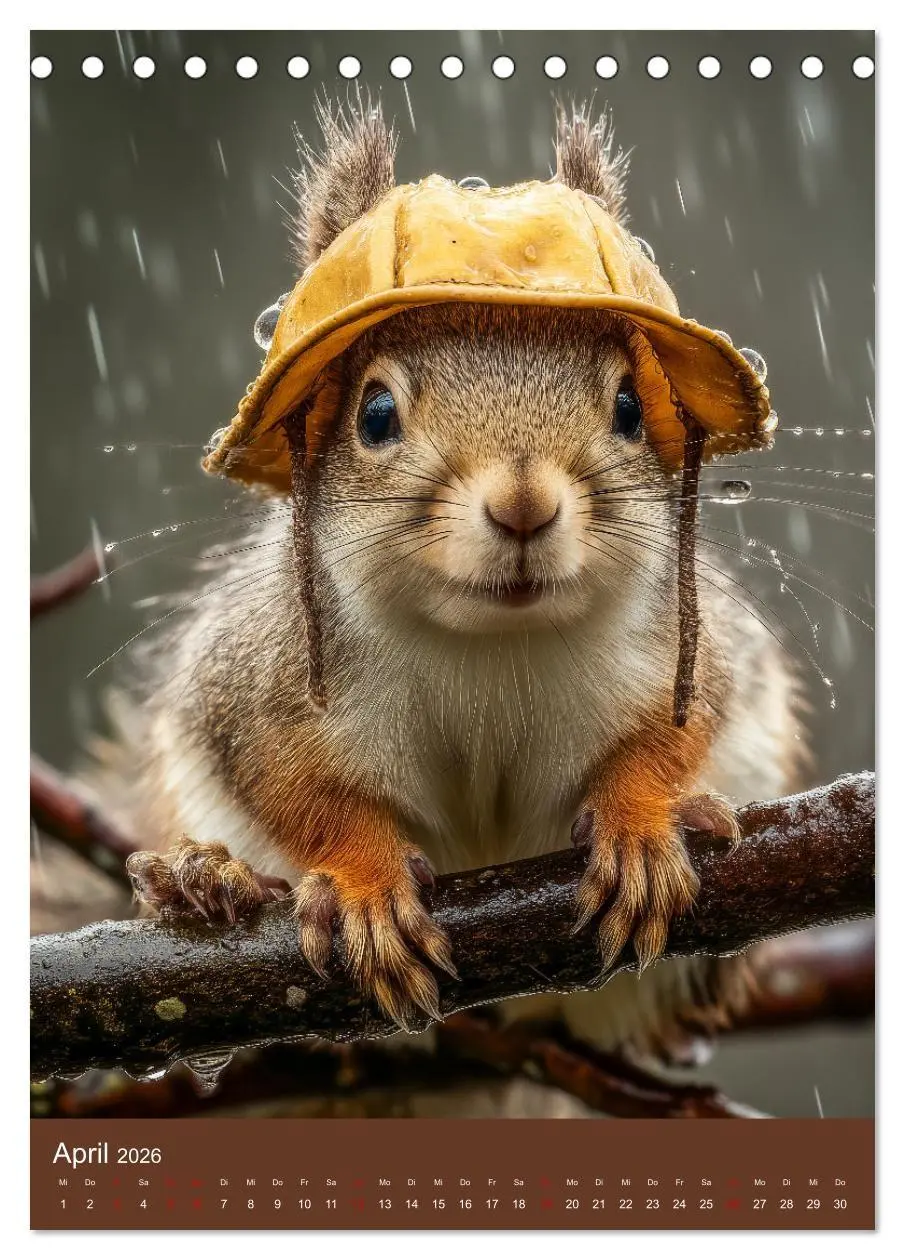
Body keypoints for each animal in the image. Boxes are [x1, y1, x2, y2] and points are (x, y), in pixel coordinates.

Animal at [107, 99, 808, 1059]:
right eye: (373, 414)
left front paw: (641, 818)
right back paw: (205, 880)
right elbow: (296, 789)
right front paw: (363, 883)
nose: (522, 505)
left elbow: (679, 728)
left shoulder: (688, 650)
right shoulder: (256, 684)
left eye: (630, 407)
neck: (491, 642)